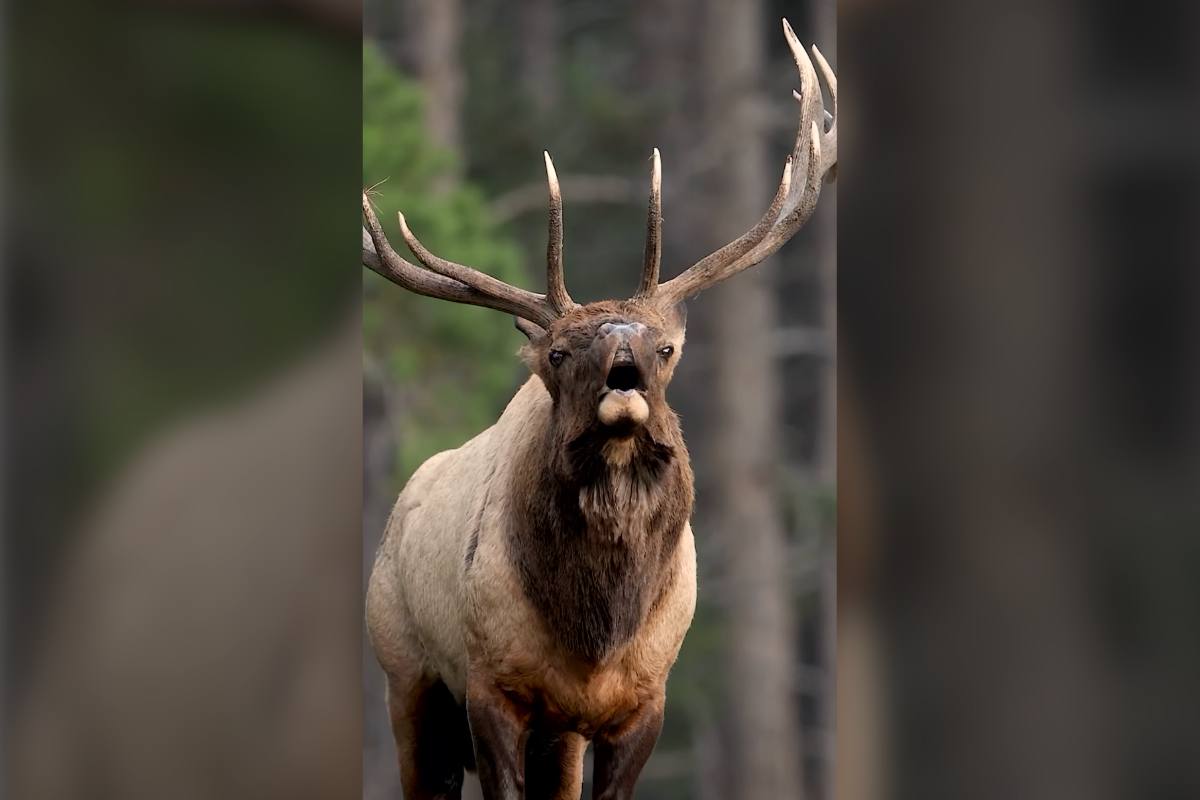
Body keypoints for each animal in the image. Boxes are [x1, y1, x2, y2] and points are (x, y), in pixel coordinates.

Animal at [362, 20, 837, 800]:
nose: (623, 365)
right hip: (408, 677)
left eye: (666, 346)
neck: (598, 633)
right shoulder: (491, 686)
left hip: (556, 737)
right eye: (557, 353)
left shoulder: (642, 701)